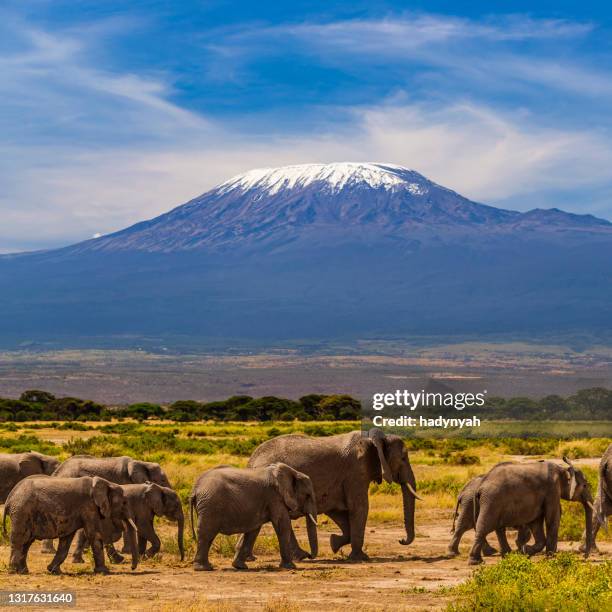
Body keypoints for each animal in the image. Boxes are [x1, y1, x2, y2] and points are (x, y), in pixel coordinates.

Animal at [1, 474, 138, 572]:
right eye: (124, 502)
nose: (132, 568)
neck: (106, 483)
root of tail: (9, 498)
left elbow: (66, 540)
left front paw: (53, 571)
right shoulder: (89, 506)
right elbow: (94, 535)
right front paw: (104, 571)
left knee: (27, 542)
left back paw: (23, 571)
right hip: (21, 512)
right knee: (20, 540)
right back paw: (14, 571)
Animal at [244, 428, 420, 560]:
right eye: (403, 458)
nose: (401, 540)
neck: (376, 439)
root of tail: (251, 461)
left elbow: (339, 512)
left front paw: (333, 543)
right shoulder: (356, 471)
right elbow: (359, 508)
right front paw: (360, 558)